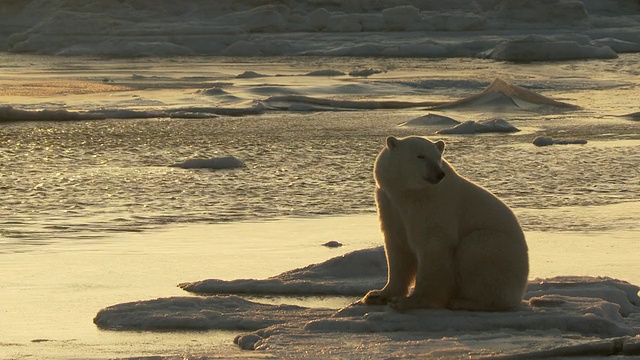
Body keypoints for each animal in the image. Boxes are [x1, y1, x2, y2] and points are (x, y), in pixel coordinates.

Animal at [362, 136, 528, 310]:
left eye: (437, 157)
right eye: (420, 156)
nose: (439, 174)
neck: (410, 194)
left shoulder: (434, 207)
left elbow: (433, 250)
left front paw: (410, 301)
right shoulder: (390, 204)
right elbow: (397, 247)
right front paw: (377, 295)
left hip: (500, 253)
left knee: (478, 248)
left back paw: (464, 301)